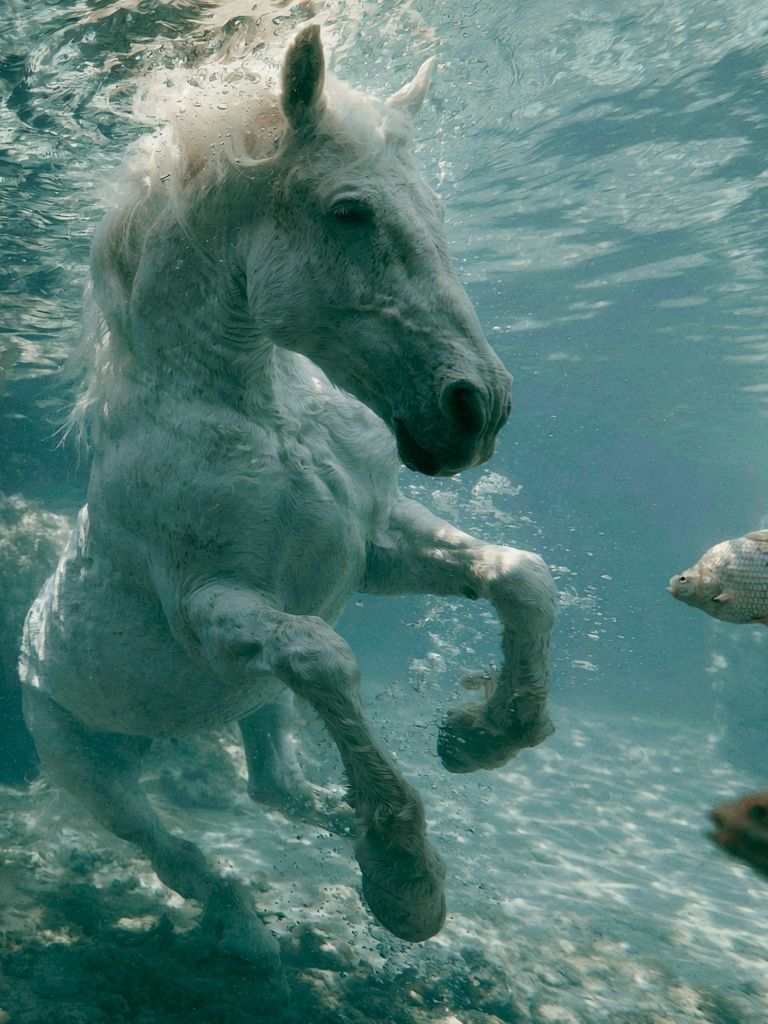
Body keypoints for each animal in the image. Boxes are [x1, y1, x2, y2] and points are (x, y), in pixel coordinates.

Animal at [19, 25, 558, 970]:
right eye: (349, 211)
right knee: (173, 849)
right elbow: (324, 654)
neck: (265, 416)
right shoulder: (210, 608)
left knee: (275, 787)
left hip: (255, 703)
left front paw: (482, 736)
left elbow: (519, 575)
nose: (476, 408)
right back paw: (245, 928)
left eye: (436, 210)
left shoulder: (373, 546)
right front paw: (405, 882)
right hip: (86, 764)